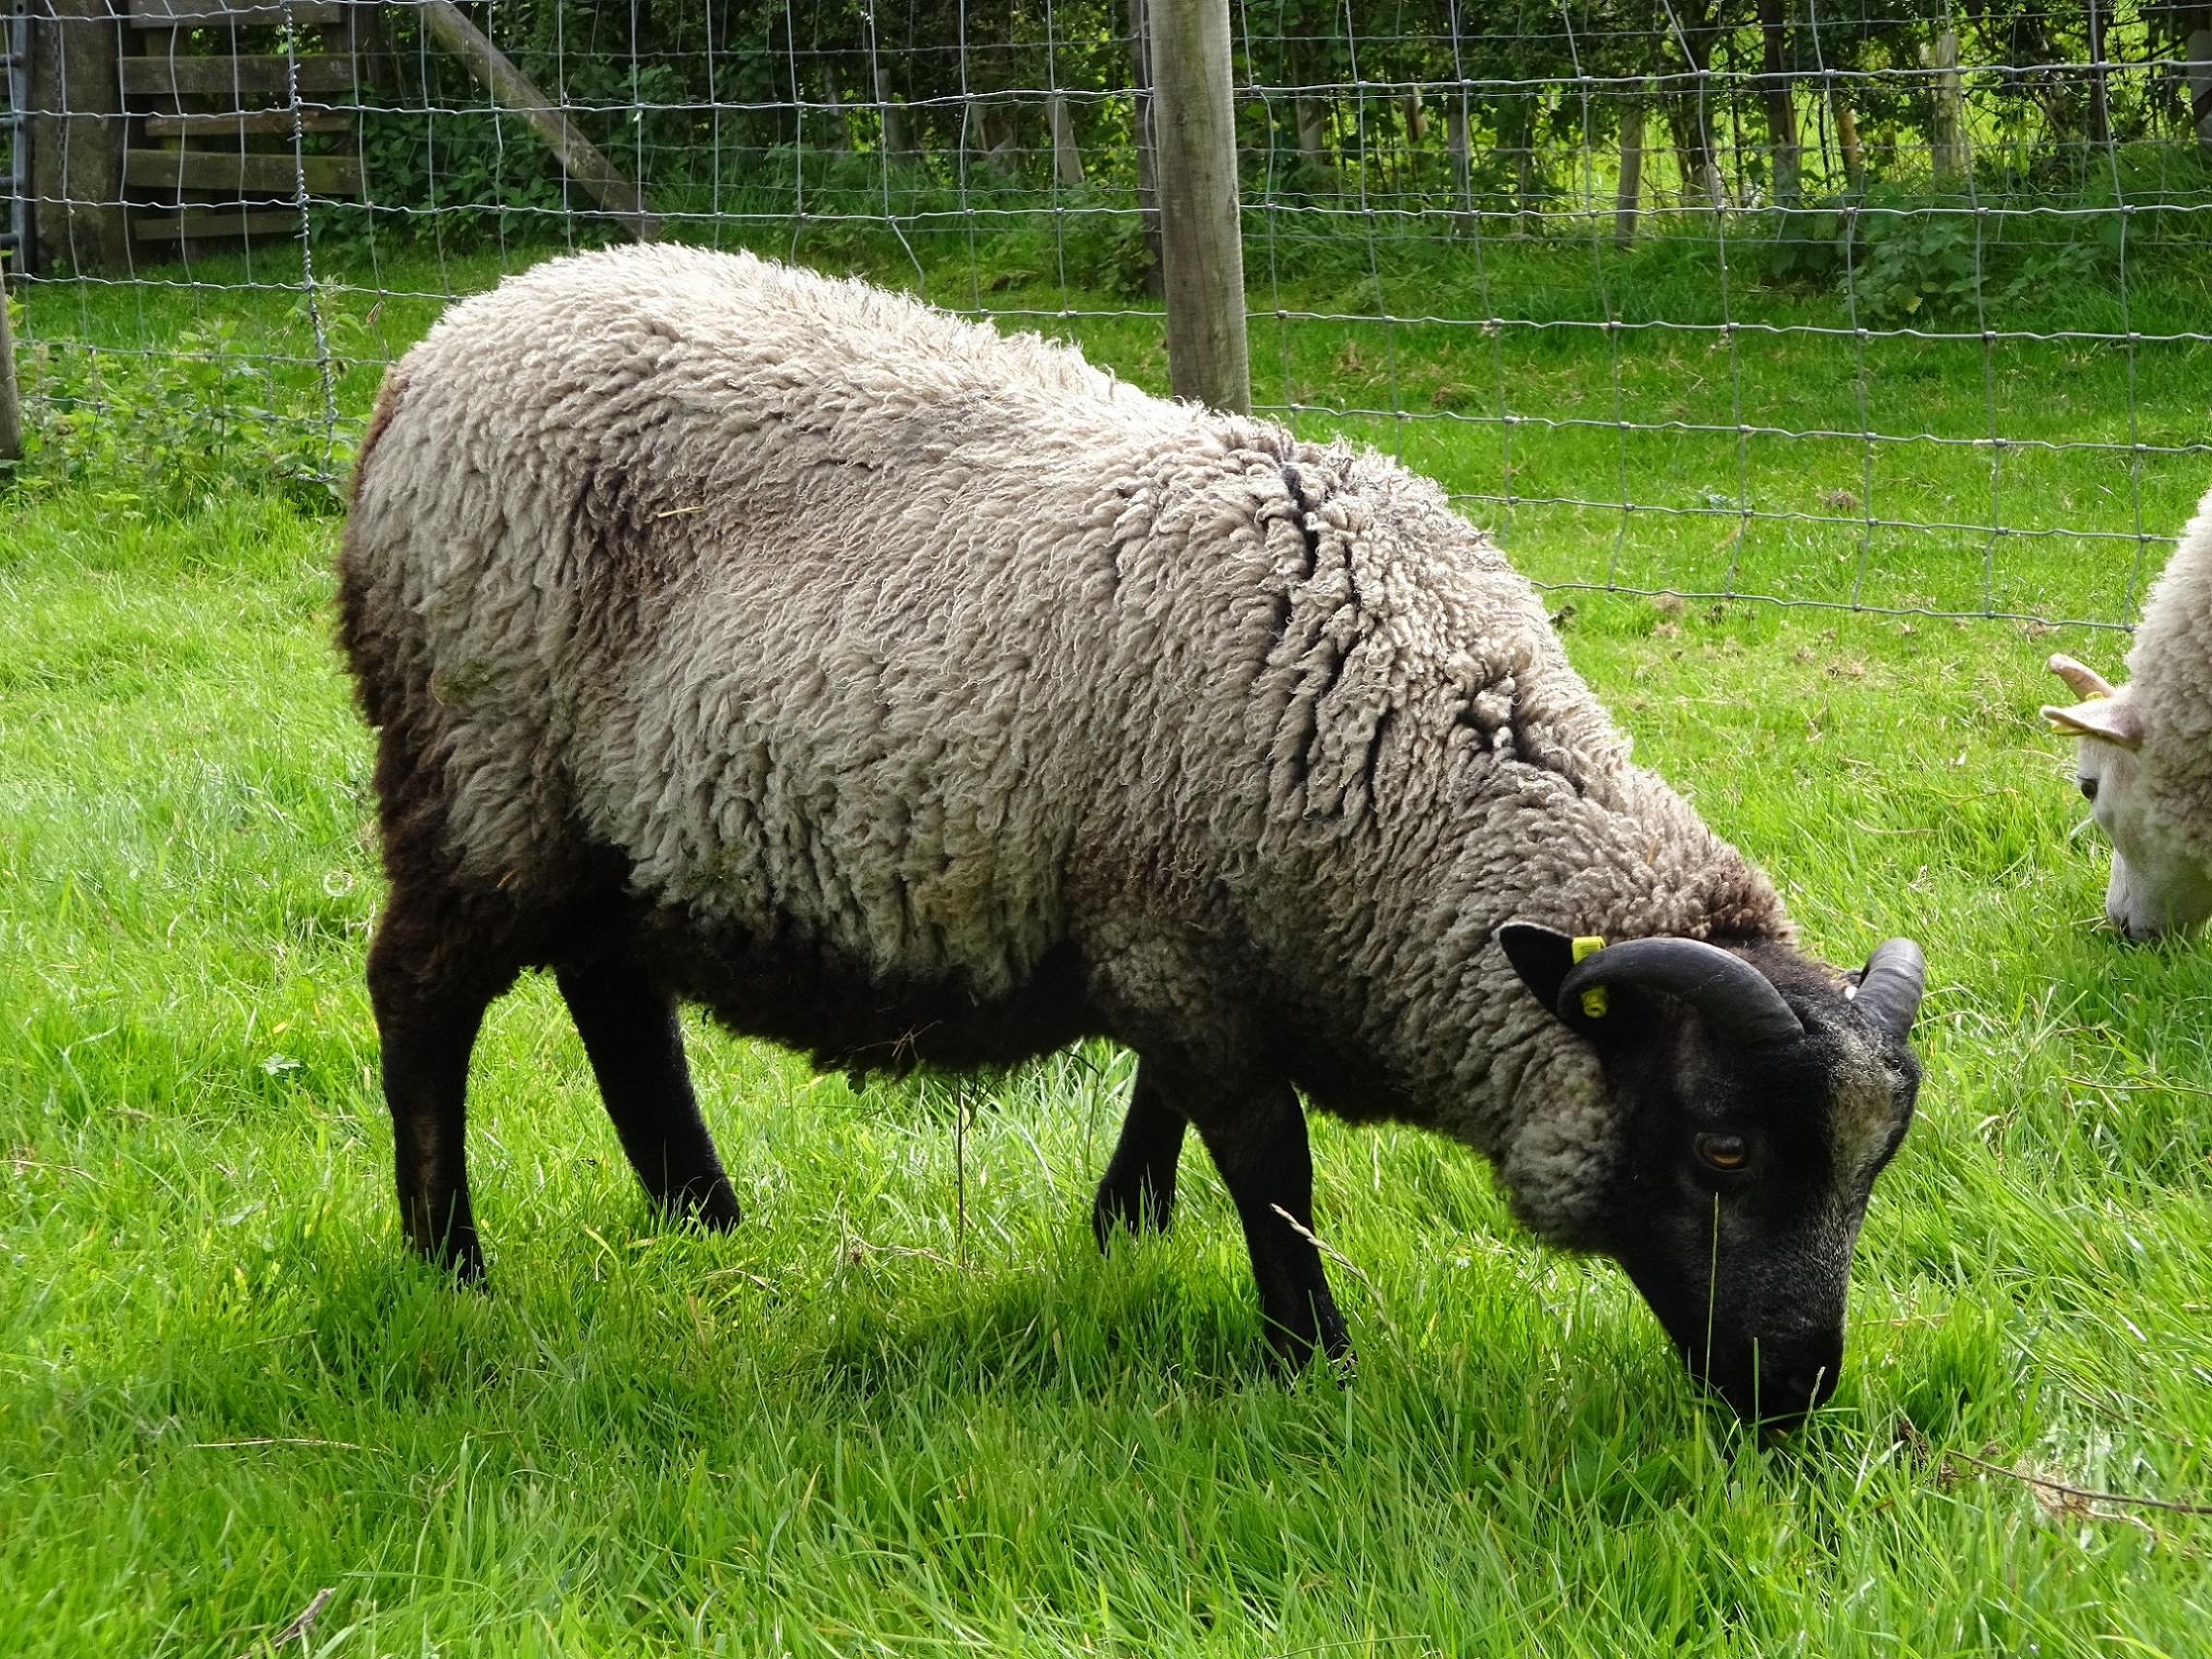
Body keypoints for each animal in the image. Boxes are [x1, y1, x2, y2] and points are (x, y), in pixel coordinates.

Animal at [338, 244, 1927, 1422]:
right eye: (1722, 1149)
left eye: (1873, 1167)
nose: (1796, 1392)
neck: (1395, 744)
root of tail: (436, 355)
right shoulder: (1178, 944)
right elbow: (1272, 1168)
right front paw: (1313, 1364)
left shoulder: (1177, 934)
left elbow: (1162, 1105)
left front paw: (1121, 1235)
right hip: (478, 766)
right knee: (422, 992)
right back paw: (448, 1261)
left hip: (612, 826)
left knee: (616, 996)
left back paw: (707, 1226)